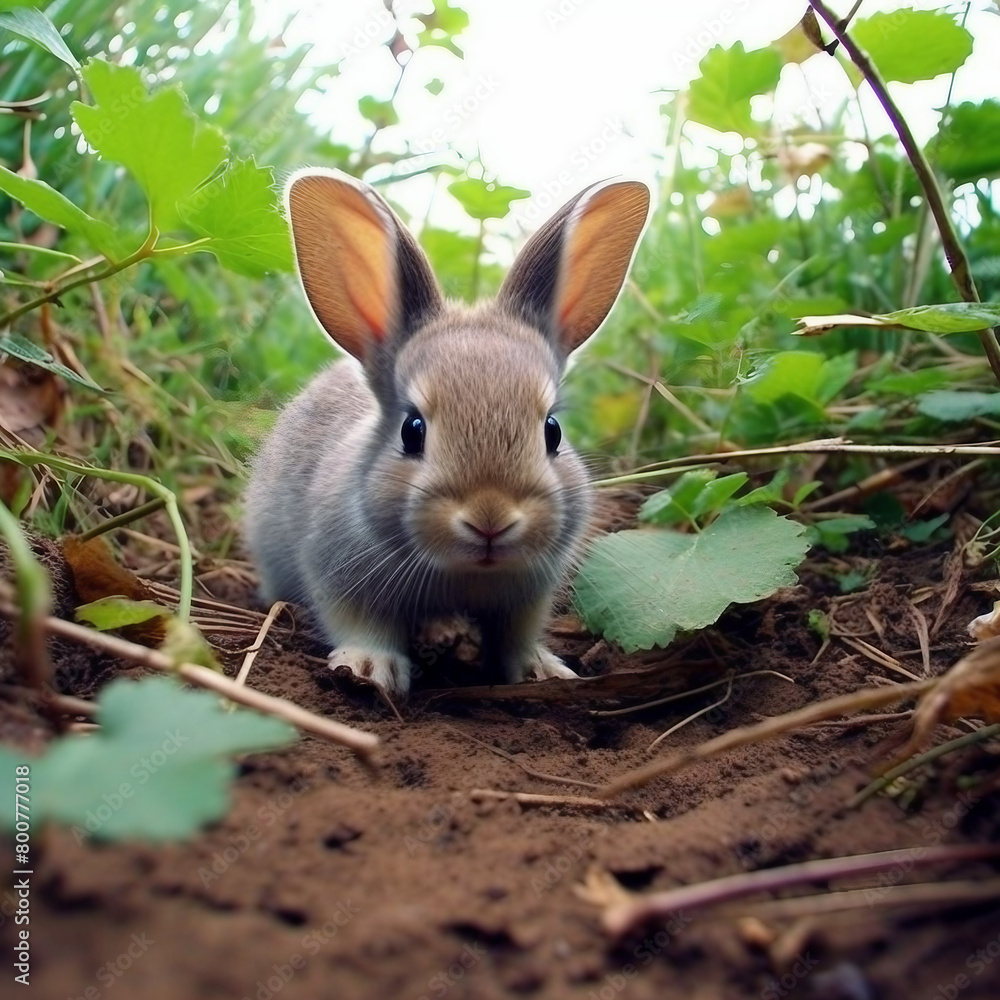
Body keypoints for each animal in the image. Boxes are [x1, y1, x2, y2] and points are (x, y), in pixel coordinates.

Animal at [244, 169, 649, 698]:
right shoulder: (339, 574)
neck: (462, 571)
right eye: (411, 429)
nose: (490, 519)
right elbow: (361, 624)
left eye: (552, 431)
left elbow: (516, 638)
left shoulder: (527, 596)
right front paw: (370, 667)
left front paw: (542, 669)